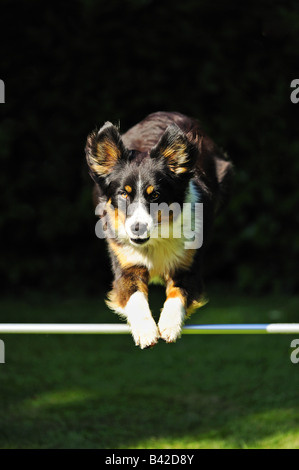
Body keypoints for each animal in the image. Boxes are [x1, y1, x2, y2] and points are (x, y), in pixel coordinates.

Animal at [85, 112, 233, 346]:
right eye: (123, 194)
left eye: (155, 195)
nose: (137, 228)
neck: (156, 238)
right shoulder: (126, 265)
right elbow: (135, 297)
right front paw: (146, 330)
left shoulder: (188, 267)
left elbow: (177, 295)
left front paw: (169, 325)